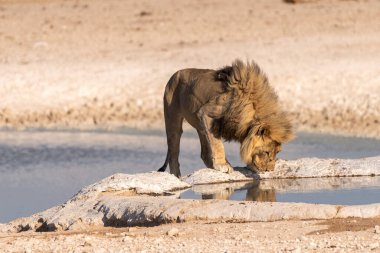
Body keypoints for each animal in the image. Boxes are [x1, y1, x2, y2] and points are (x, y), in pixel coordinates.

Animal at [157, 59, 294, 178]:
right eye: (266, 152)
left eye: (277, 152)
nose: (269, 170)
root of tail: (175, 74)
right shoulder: (206, 113)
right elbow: (217, 144)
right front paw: (222, 165)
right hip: (173, 119)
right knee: (173, 153)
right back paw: (177, 177)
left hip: (200, 126)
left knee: (204, 153)